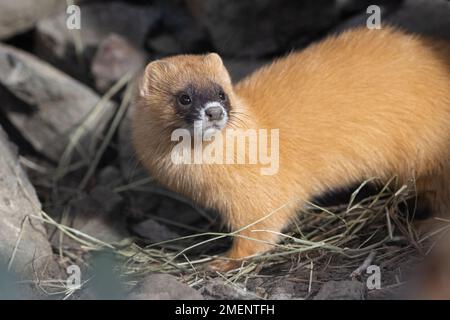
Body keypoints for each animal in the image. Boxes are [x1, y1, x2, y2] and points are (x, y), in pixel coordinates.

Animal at [133, 27, 450, 272]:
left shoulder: (260, 196)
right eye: (184, 97)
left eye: (221, 92)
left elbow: (259, 233)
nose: (213, 111)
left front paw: (223, 261)